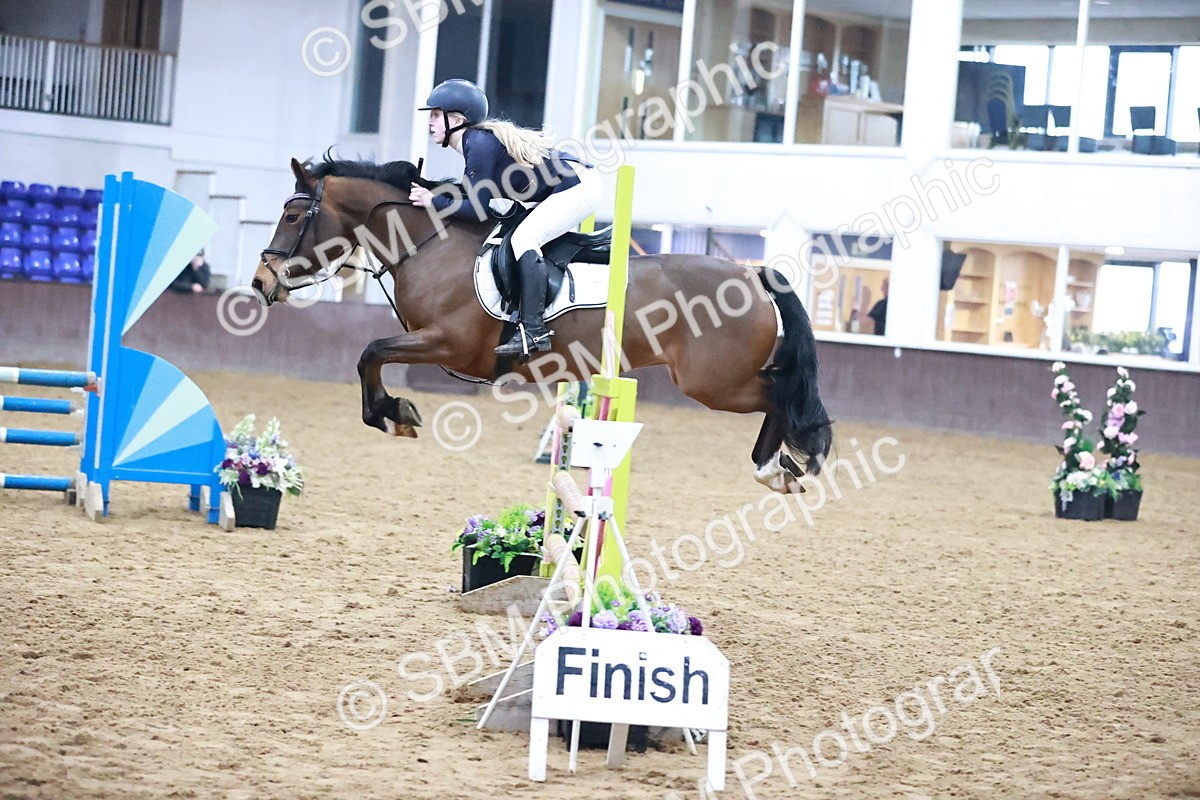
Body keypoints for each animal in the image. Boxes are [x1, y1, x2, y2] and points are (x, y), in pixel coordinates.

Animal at [253, 157, 832, 494]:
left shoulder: (446, 344)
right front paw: (394, 414)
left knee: (781, 394)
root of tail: (750, 272)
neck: (430, 244)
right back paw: (781, 467)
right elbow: (370, 354)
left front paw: (393, 413)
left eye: (291, 216)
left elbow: (370, 351)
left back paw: (779, 467)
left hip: (714, 382)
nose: (261, 282)